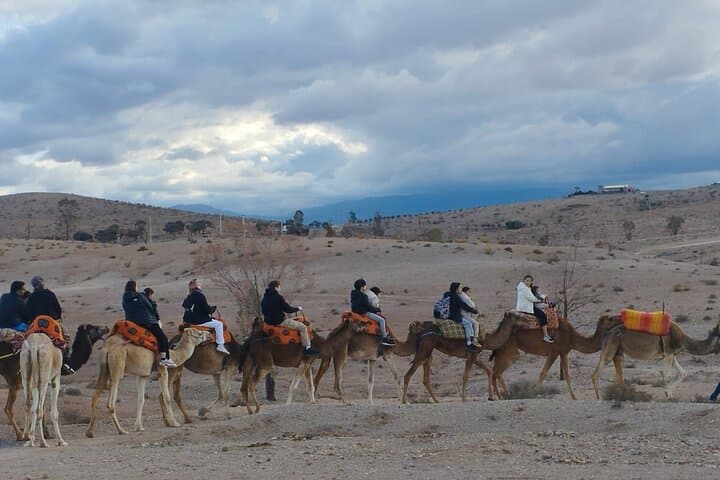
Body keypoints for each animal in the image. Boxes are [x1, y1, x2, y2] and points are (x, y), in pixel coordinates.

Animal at [491, 313, 621, 400]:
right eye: (610, 318)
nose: (620, 318)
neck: (572, 337)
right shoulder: (554, 351)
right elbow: (543, 373)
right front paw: (533, 394)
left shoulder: (563, 352)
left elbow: (567, 375)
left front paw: (574, 397)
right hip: (509, 350)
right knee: (497, 372)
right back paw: (502, 396)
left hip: (504, 350)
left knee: (496, 371)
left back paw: (501, 396)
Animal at [591, 320, 720, 399]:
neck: (683, 340)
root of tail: (607, 334)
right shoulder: (668, 353)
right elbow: (667, 376)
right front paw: (669, 396)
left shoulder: (671, 354)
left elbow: (683, 373)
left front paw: (668, 394)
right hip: (611, 347)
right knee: (596, 373)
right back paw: (599, 398)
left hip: (617, 350)